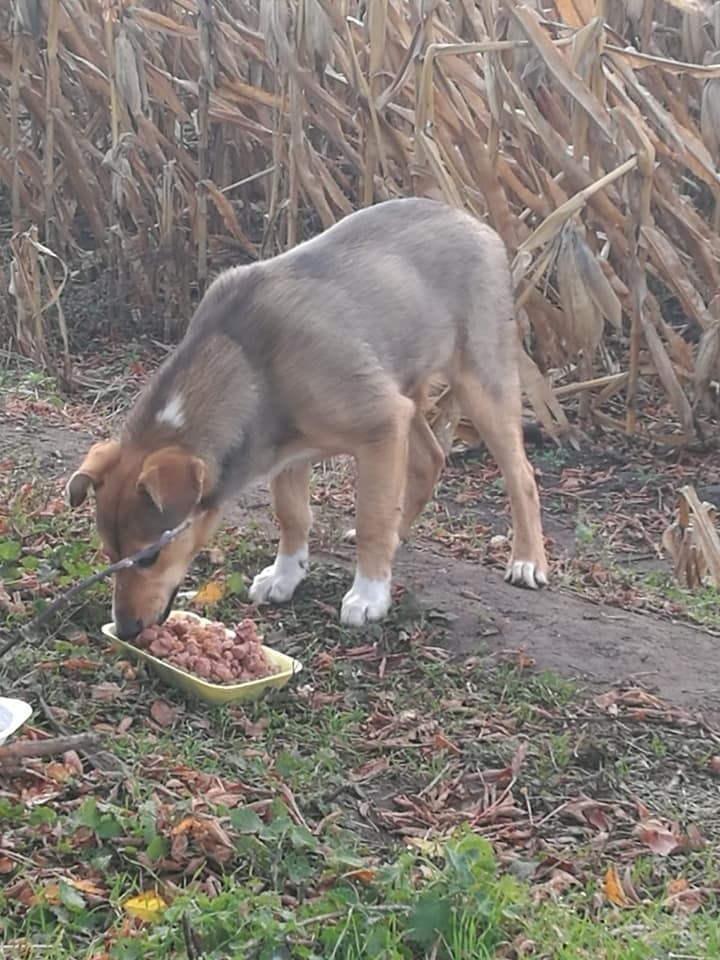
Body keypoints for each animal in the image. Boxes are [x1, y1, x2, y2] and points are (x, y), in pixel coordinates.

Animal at [67, 196, 548, 640]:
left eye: (149, 556)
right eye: (109, 552)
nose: (125, 630)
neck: (248, 362)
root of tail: (469, 218)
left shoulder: (380, 425)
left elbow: (372, 518)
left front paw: (370, 594)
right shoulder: (290, 451)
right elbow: (293, 515)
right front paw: (286, 576)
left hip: (481, 385)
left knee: (520, 475)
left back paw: (527, 560)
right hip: (404, 390)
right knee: (429, 459)